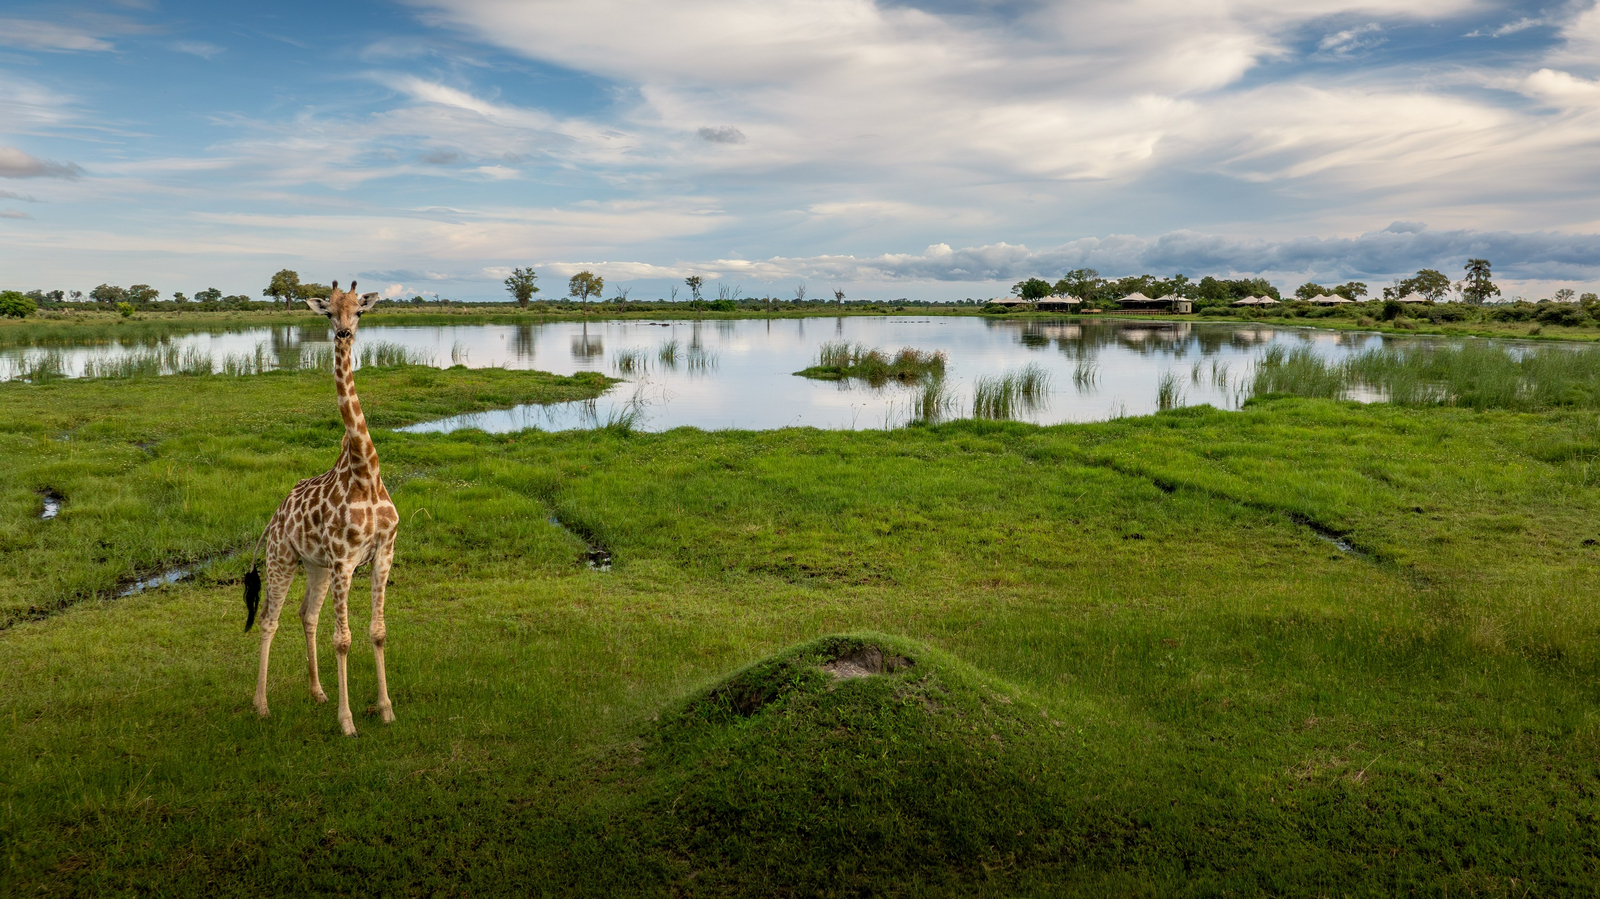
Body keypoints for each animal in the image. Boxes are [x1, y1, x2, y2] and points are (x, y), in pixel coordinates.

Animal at [243, 280, 399, 737]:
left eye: (359, 311)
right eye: (328, 312)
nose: (343, 334)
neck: (365, 471)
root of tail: (275, 516)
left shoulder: (383, 553)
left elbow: (377, 631)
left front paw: (385, 708)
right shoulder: (345, 560)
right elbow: (343, 639)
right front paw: (348, 722)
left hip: (315, 566)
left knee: (306, 615)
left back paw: (317, 691)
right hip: (281, 558)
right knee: (270, 619)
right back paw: (261, 705)